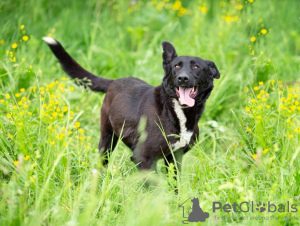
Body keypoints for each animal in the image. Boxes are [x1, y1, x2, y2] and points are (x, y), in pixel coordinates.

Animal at [42, 37, 220, 170]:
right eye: (176, 66)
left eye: (196, 67)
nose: (182, 78)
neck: (174, 111)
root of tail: (114, 81)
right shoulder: (143, 158)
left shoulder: (175, 158)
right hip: (107, 140)